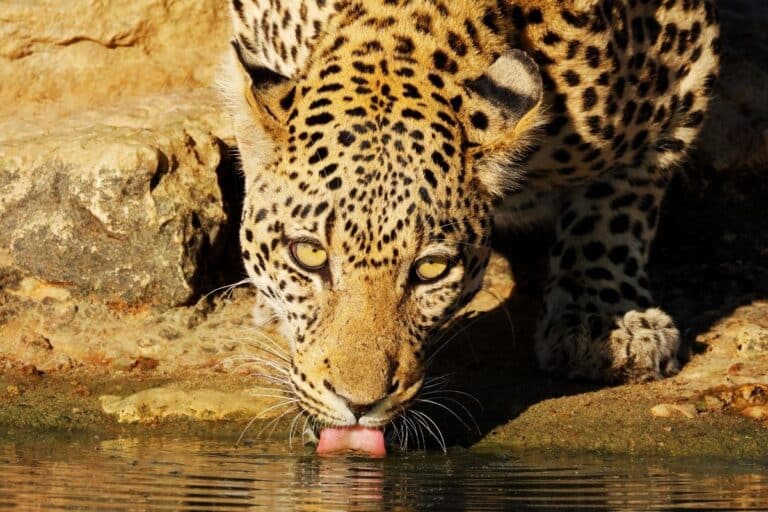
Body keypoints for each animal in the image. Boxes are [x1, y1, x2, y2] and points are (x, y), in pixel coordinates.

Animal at [221, 0, 720, 433]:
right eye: (308, 255)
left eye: (430, 269)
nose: (359, 404)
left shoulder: (684, 67)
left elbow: (619, 204)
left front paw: (607, 319)